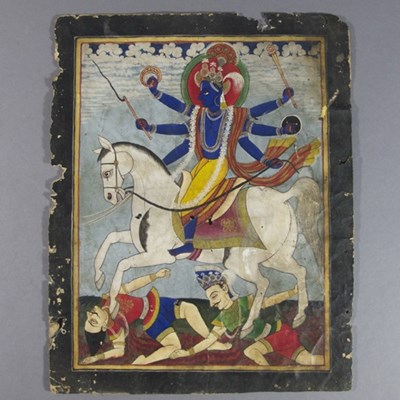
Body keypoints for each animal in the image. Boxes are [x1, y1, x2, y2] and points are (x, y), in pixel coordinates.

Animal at [93, 136, 322, 337]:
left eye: (106, 172)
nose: (110, 197)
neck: (158, 201)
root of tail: (281, 198)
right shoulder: (139, 245)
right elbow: (110, 238)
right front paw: (98, 277)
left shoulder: (159, 255)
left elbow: (122, 264)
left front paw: (112, 307)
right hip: (275, 258)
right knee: (300, 271)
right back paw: (300, 315)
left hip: (239, 262)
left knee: (263, 283)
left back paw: (248, 326)